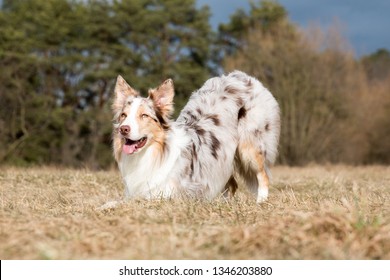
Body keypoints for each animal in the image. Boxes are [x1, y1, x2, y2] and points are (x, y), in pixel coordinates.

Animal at [112, 71, 280, 202]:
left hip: (249, 147)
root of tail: (245, 77)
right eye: (123, 115)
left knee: (263, 176)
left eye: (144, 115)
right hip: (223, 158)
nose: (123, 129)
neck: (153, 152)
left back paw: (260, 202)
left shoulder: (171, 194)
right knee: (232, 185)